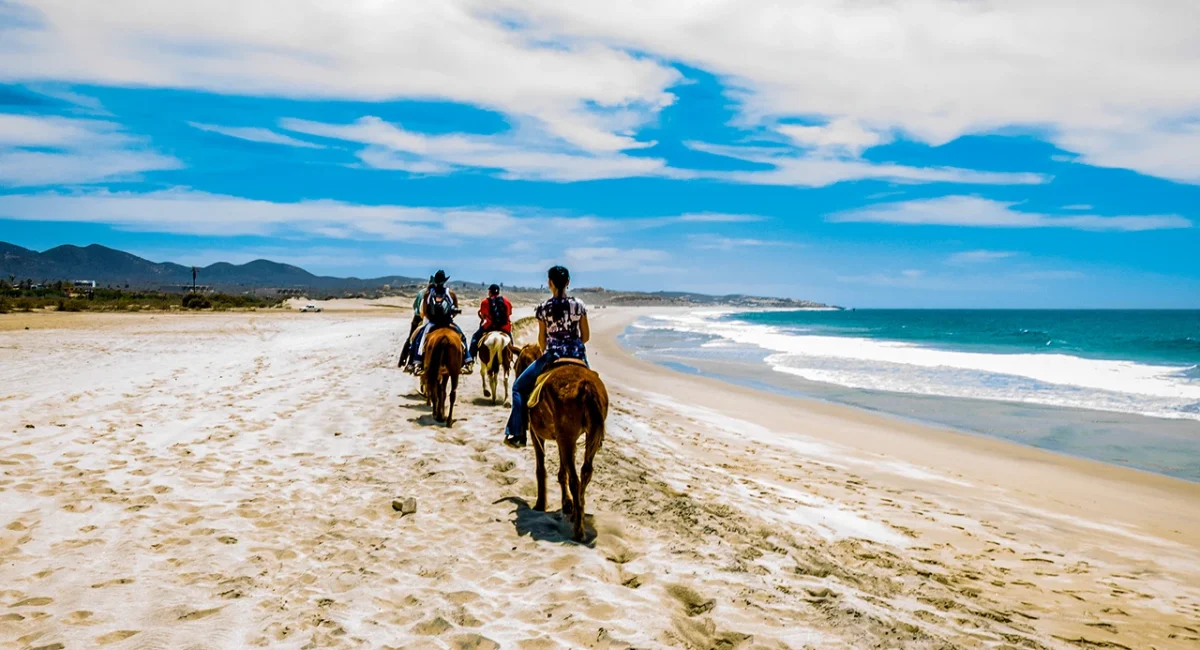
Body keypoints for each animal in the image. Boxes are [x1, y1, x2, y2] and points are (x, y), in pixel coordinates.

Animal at [513, 342, 609, 542]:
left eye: (515, 365)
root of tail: (585, 386)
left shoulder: (537, 435)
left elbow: (541, 469)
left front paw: (540, 504)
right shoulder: (562, 439)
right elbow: (562, 471)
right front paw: (567, 504)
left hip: (567, 437)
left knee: (575, 479)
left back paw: (578, 531)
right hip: (582, 438)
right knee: (585, 473)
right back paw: (577, 515)